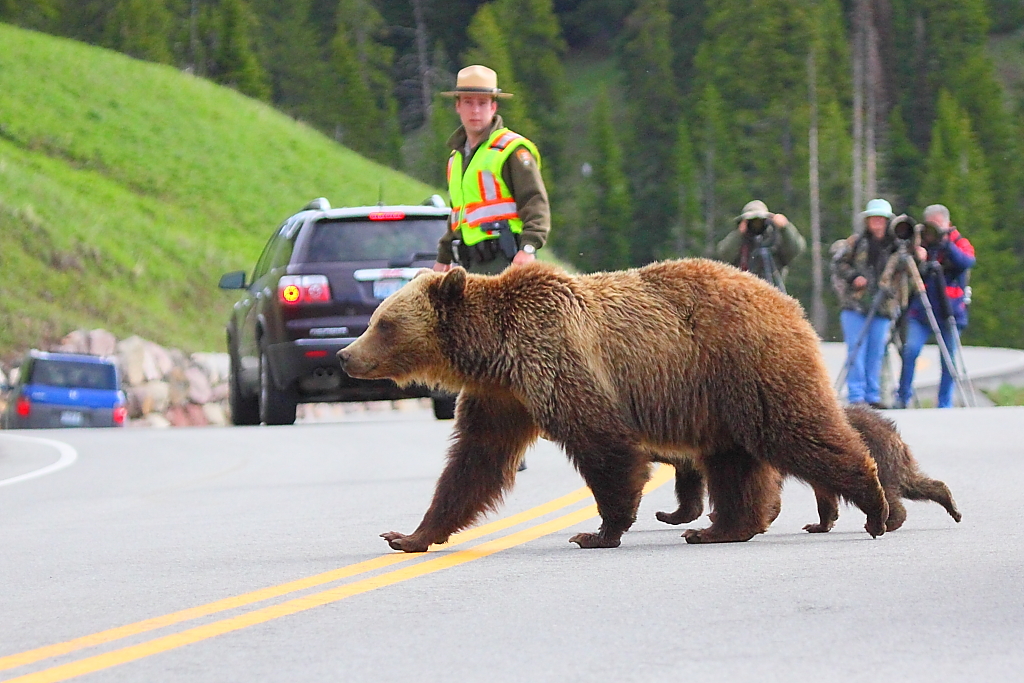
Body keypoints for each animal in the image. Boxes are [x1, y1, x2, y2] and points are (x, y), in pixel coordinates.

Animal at [337, 259, 888, 552]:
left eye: (384, 322)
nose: (345, 355)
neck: (494, 353)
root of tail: (788, 302)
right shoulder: (503, 398)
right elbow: (473, 464)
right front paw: (408, 535)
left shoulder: (557, 364)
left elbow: (605, 448)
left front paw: (599, 531)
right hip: (720, 399)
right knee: (733, 462)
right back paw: (720, 529)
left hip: (748, 366)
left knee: (797, 430)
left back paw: (878, 507)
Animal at [655, 405, 958, 532]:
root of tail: (892, 430)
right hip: (892, 462)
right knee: (914, 483)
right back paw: (951, 504)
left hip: (879, 460)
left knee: (887, 490)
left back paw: (891, 520)